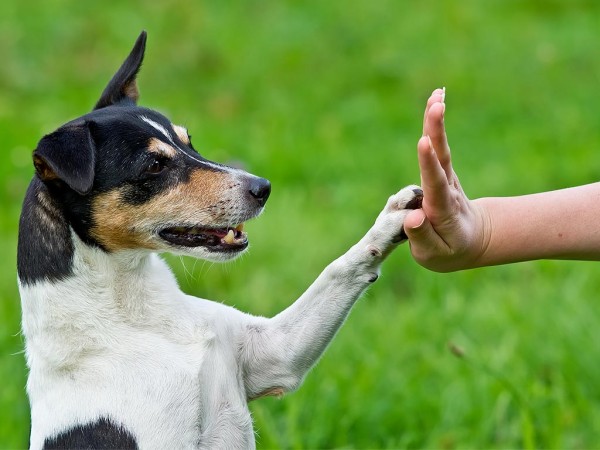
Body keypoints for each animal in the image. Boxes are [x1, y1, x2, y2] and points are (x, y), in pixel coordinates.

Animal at [17, 32, 422, 450]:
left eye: (189, 142)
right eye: (154, 166)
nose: (263, 187)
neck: (136, 315)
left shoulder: (276, 353)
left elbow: (339, 269)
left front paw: (394, 217)